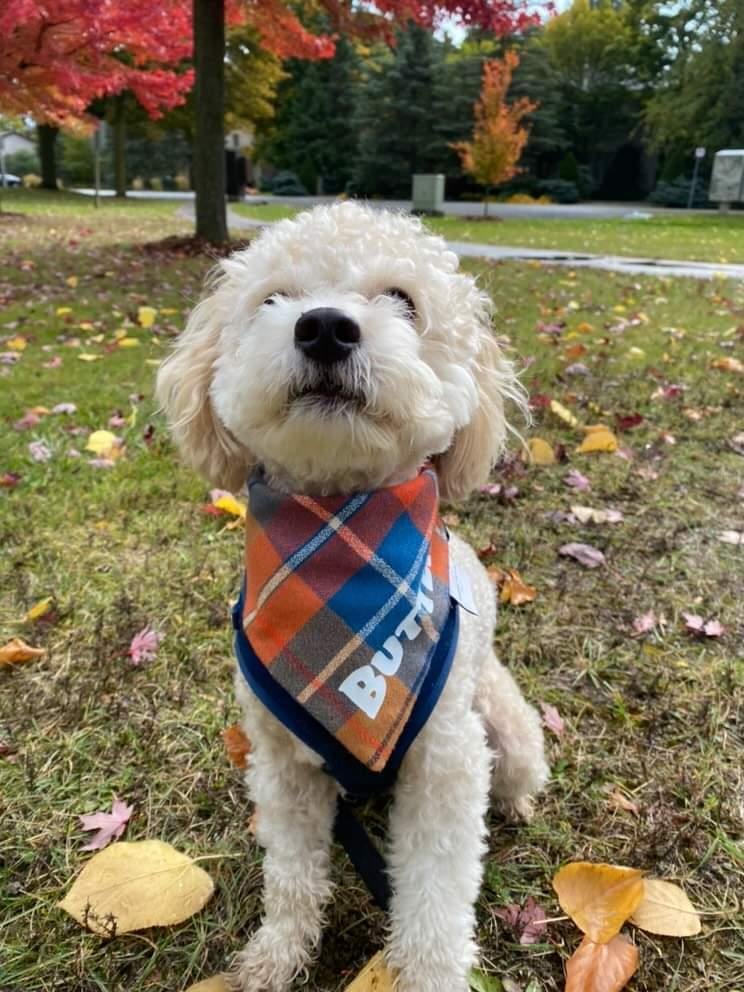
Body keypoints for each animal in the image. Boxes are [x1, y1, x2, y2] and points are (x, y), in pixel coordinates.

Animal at [155, 203, 548, 992]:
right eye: (272, 299)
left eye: (403, 300)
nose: (325, 327)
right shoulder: (281, 763)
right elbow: (292, 874)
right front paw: (277, 955)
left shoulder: (446, 760)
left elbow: (434, 893)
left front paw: (430, 975)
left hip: (506, 726)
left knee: (518, 767)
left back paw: (518, 801)